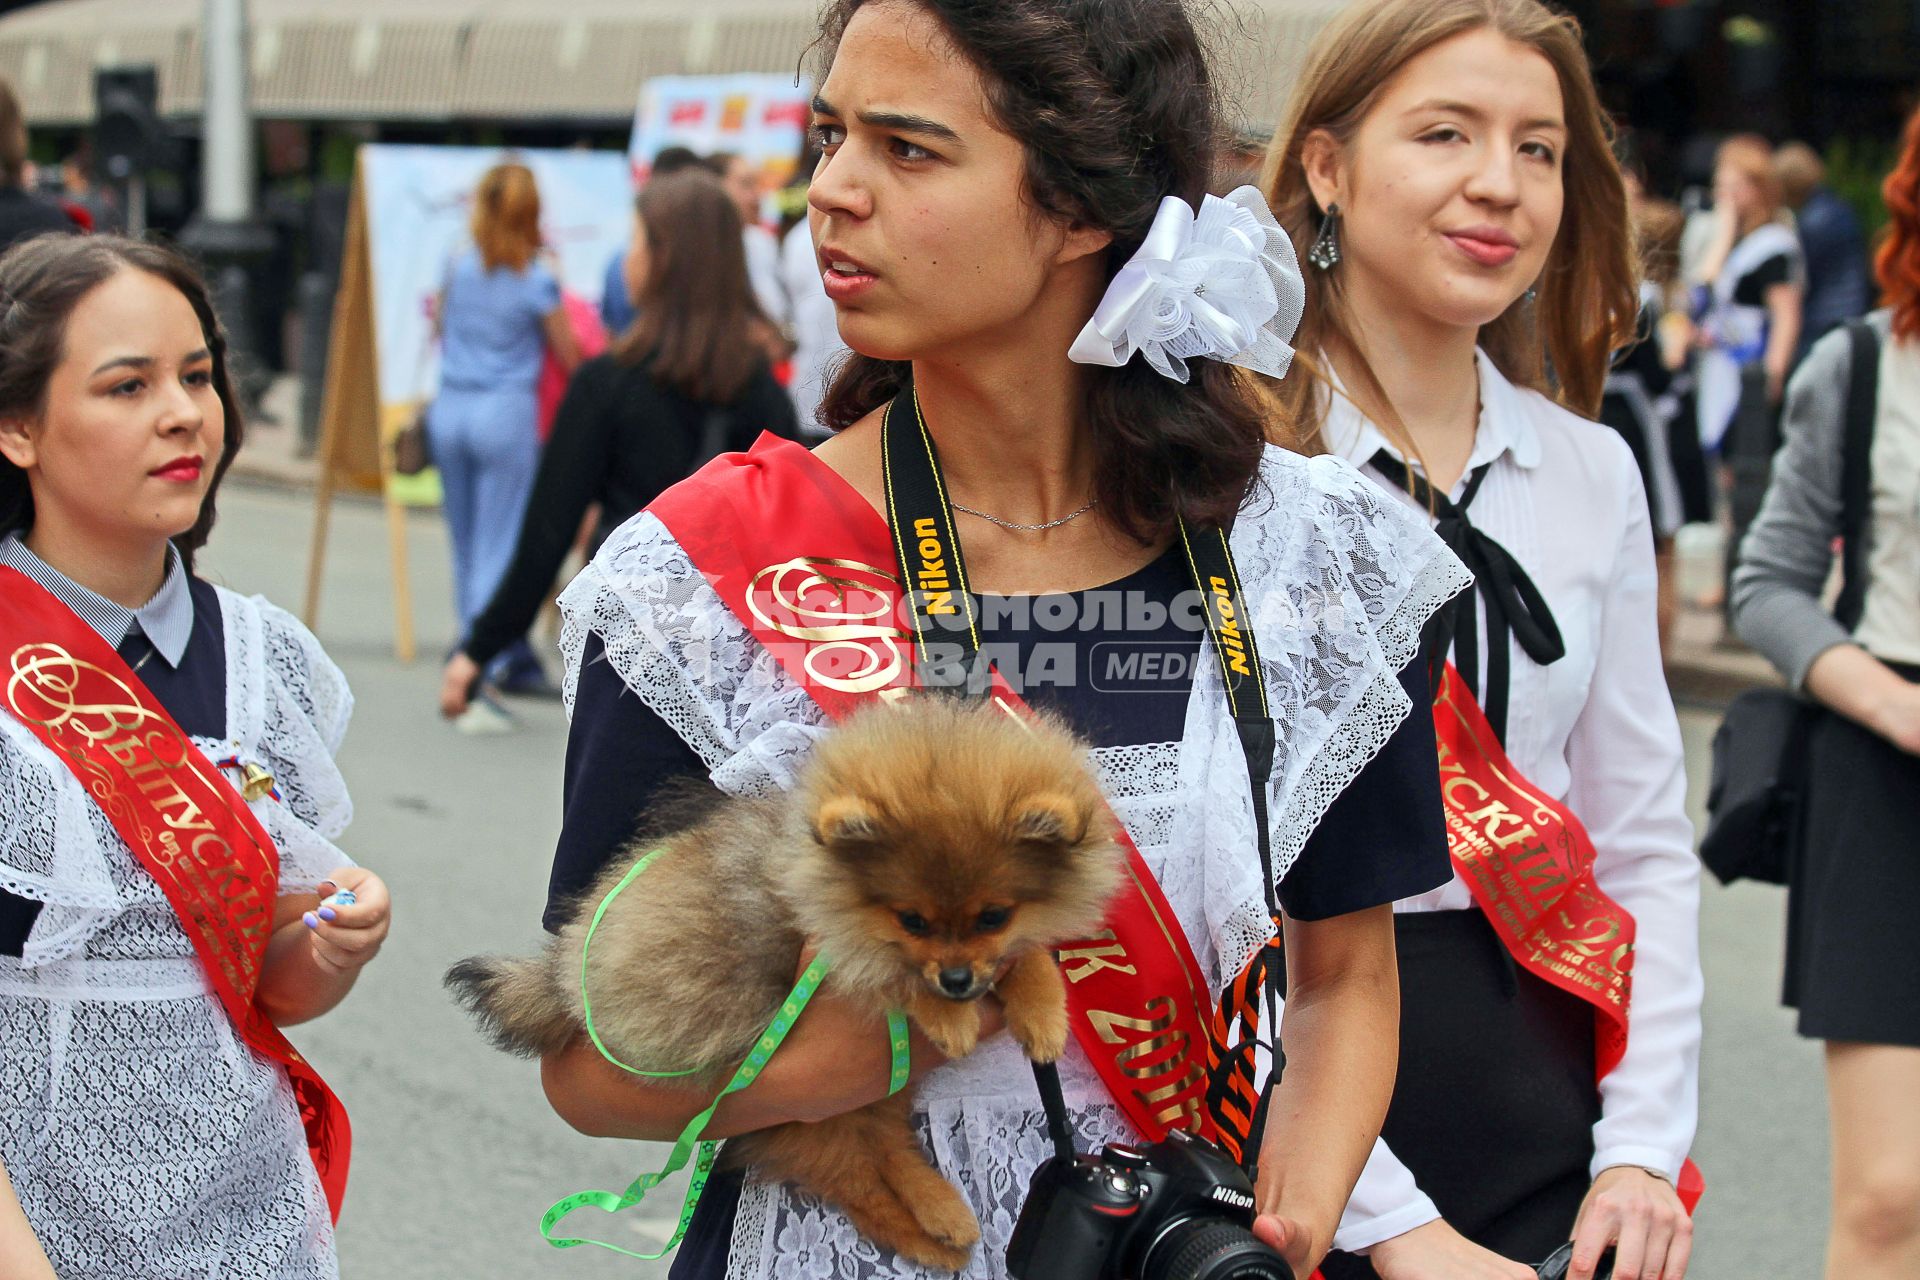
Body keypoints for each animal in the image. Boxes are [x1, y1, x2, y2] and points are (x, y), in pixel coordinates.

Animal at [447, 694, 1121, 1266]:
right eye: (912, 920)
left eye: (993, 916)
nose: (957, 980)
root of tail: (564, 978)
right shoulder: (831, 945)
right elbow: (891, 974)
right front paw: (948, 1016)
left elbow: (1027, 958)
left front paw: (1042, 1012)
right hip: (808, 1107)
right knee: (856, 1178)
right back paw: (936, 1235)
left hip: (866, 1100)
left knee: (888, 1155)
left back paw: (942, 1214)